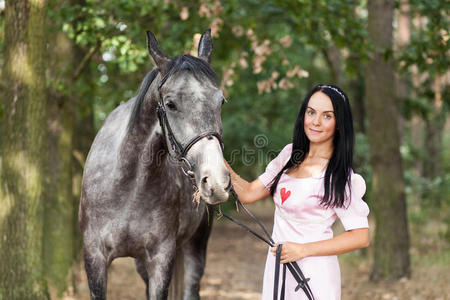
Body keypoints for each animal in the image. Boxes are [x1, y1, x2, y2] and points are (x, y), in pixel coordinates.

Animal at [78, 29, 230, 300]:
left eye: (220, 101)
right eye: (170, 104)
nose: (216, 181)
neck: (127, 186)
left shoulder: (161, 259)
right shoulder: (94, 258)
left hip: (196, 244)